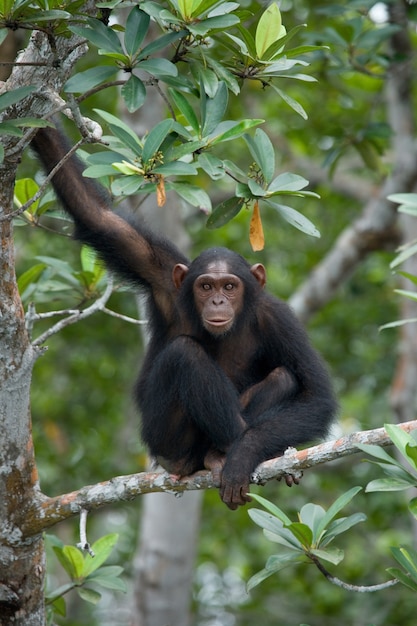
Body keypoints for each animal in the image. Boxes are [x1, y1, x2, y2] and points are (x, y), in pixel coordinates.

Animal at [30, 125, 334, 508]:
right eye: (205, 286)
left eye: (229, 286)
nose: (217, 300)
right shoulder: (160, 273)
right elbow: (97, 215)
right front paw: (37, 126)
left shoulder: (279, 319)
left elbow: (315, 396)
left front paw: (245, 453)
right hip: (165, 443)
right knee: (184, 354)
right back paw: (219, 457)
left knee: (284, 377)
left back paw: (236, 455)